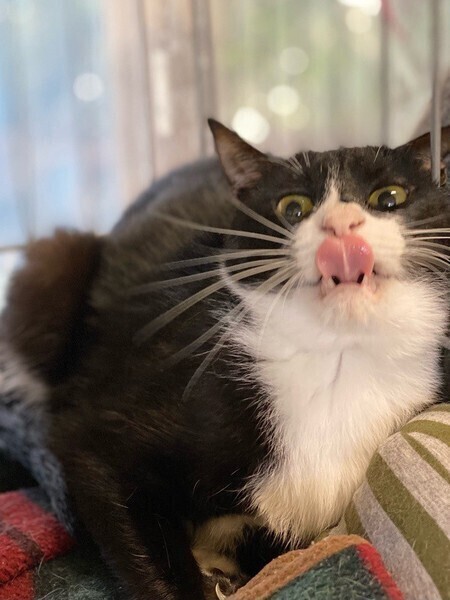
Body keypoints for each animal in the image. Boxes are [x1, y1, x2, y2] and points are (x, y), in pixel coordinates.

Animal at [2, 120, 450, 600]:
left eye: (390, 198)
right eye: (293, 207)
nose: (340, 224)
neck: (338, 362)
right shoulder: (105, 424)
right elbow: (97, 464)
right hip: (55, 267)